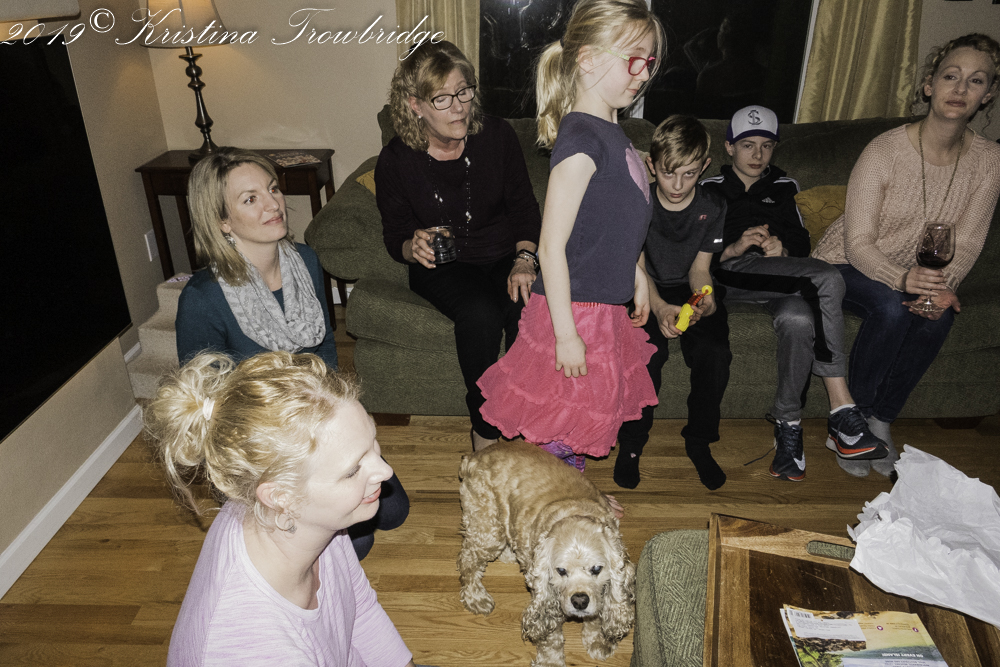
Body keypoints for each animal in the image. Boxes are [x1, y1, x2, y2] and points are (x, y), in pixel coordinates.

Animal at [458, 440, 635, 667]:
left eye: (596, 569)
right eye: (561, 571)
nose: (579, 601)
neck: (575, 511)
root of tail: (474, 456)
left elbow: (596, 615)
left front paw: (597, 641)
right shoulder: (544, 593)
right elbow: (551, 635)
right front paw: (551, 661)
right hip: (488, 530)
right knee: (468, 558)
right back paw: (476, 597)